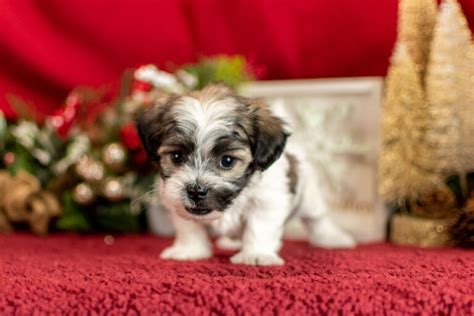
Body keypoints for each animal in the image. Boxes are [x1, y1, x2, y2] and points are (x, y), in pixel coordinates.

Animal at [135, 84, 354, 266]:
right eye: (177, 156)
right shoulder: (177, 202)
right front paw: (189, 250)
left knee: (317, 219)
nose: (196, 191)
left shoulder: (267, 202)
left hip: (309, 196)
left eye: (227, 161)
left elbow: (259, 227)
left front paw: (256, 254)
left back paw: (331, 238)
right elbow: (189, 227)